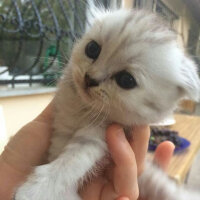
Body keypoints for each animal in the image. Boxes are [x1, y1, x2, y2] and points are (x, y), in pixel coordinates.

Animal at [15, 7, 200, 200]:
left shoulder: (96, 137)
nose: (90, 79)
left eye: (126, 80)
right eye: (92, 49)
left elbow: (70, 163)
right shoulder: (61, 131)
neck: (84, 109)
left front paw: (36, 190)